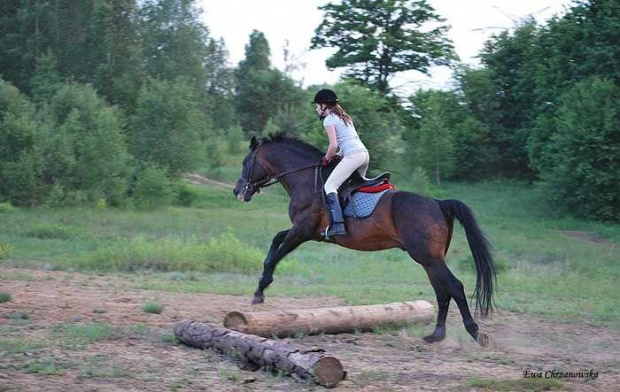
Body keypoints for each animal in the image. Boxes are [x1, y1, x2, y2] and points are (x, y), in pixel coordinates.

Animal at [230, 133, 496, 344]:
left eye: (245, 162)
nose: (237, 191)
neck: (305, 178)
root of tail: (439, 203)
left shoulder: (302, 230)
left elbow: (276, 255)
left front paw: (260, 291)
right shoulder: (308, 233)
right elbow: (275, 242)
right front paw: (260, 289)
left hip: (428, 257)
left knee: (454, 287)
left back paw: (475, 334)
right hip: (429, 259)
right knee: (442, 292)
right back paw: (436, 335)